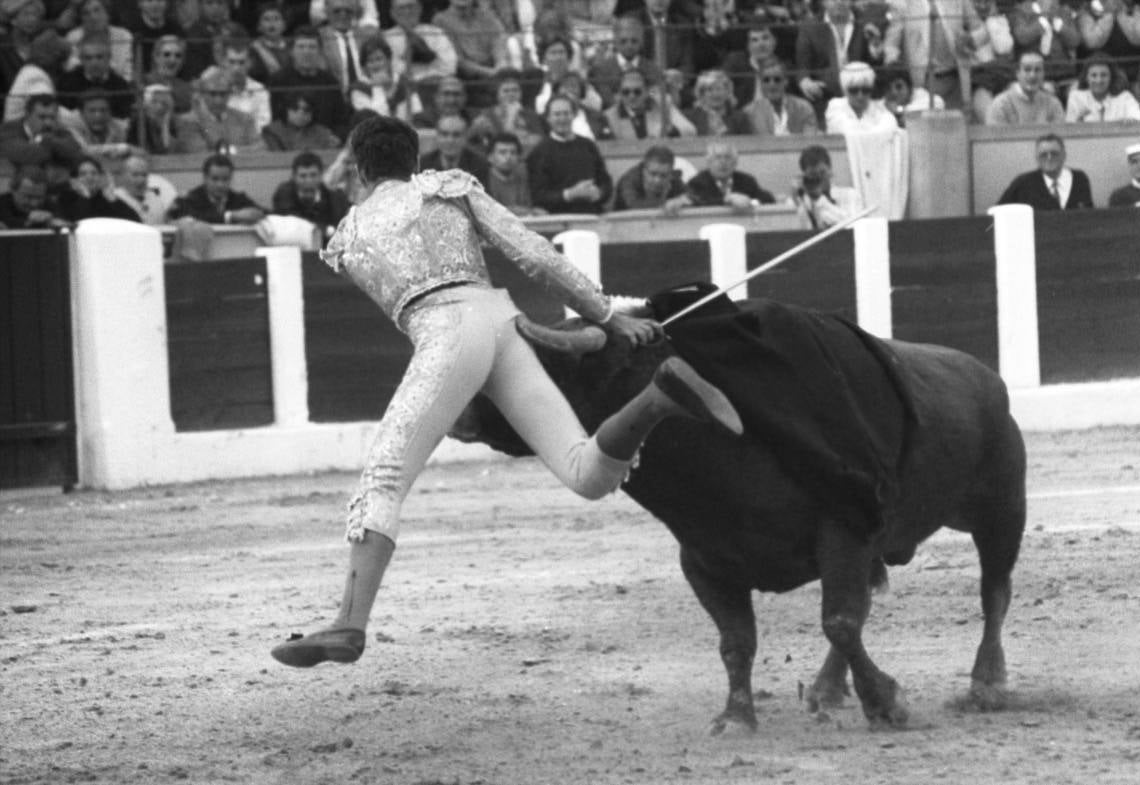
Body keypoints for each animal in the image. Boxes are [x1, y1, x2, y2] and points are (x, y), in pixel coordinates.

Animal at [449, 290, 1030, 733]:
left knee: (994, 593)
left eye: (539, 367)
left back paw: (986, 684)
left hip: (1002, 511)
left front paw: (886, 705)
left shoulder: (845, 530)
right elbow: (737, 642)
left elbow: (839, 621)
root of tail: (987, 377)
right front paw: (735, 718)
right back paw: (825, 690)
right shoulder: (705, 562)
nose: (461, 411)